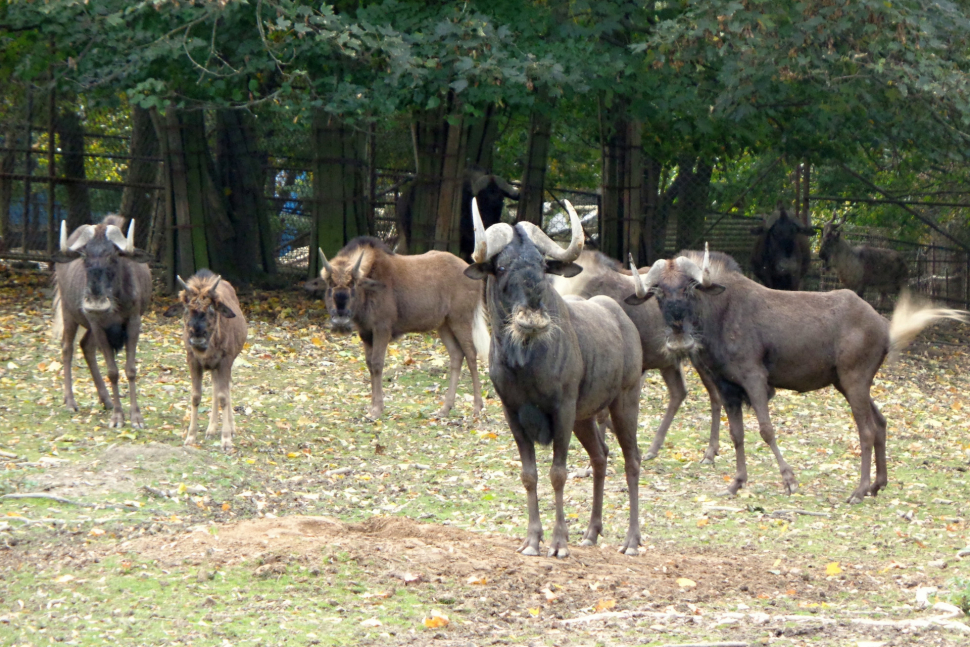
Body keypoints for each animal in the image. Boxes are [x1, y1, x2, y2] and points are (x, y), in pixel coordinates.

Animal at [51, 219, 151, 430]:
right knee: (67, 348)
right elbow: (112, 372)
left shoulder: (133, 322)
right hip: (69, 312)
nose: (94, 304)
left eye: (113, 256)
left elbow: (130, 370)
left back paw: (106, 400)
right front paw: (118, 417)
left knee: (85, 346)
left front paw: (136, 417)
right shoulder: (97, 324)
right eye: (84, 256)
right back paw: (70, 401)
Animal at [164, 270, 248, 454]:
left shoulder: (224, 361)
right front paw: (190, 437)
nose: (197, 336)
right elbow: (196, 396)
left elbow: (224, 397)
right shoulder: (194, 361)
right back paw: (211, 429)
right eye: (186, 309)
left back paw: (230, 428)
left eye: (211, 308)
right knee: (216, 388)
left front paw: (226, 440)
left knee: (225, 390)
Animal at [316, 238, 484, 420]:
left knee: (471, 355)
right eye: (330, 285)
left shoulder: (382, 328)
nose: (340, 318)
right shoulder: (365, 333)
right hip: (444, 324)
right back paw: (445, 408)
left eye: (353, 284)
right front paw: (373, 407)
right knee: (456, 355)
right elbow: (369, 364)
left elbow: (377, 364)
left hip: (461, 320)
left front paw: (377, 409)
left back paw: (477, 407)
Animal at [466, 200, 648, 560]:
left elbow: (558, 474)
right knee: (600, 456)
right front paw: (532, 540)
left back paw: (632, 540)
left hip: (624, 401)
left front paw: (559, 542)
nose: (532, 319)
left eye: (541, 265)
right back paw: (591, 533)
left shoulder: (562, 410)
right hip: (585, 418)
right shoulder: (513, 414)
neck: (524, 364)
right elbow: (529, 475)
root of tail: (624, 321)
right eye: (502, 266)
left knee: (631, 461)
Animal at [624, 246, 964, 504]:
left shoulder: (755, 377)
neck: (716, 319)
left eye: (689, 287)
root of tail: (886, 329)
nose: (678, 332)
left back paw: (859, 490)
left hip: (855, 379)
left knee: (866, 431)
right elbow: (737, 435)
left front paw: (789, 479)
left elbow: (766, 430)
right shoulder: (728, 386)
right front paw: (736, 482)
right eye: (657, 291)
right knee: (880, 423)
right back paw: (878, 484)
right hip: (846, 382)